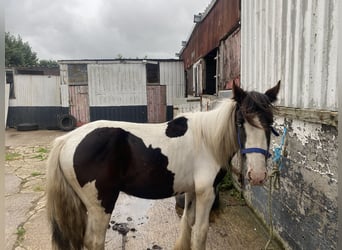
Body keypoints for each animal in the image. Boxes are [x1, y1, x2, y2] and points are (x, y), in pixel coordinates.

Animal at [45, 81, 280, 249]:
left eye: (270, 123)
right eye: (241, 122)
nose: (258, 175)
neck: (207, 139)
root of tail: (66, 140)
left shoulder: (193, 191)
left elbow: (187, 222)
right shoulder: (207, 192)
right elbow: (200, 232)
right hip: (100, 204)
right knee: (94, 241)